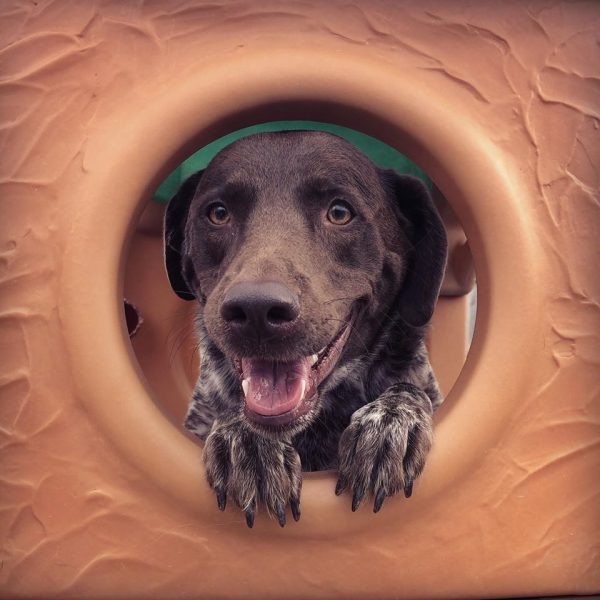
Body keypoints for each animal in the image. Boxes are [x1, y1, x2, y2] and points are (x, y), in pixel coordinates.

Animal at [163, 130, 446, 524]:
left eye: (340, 212)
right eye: (218, 213)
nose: (256, 310)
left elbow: (408, 390)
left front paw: (389, 422)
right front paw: (247, 439)